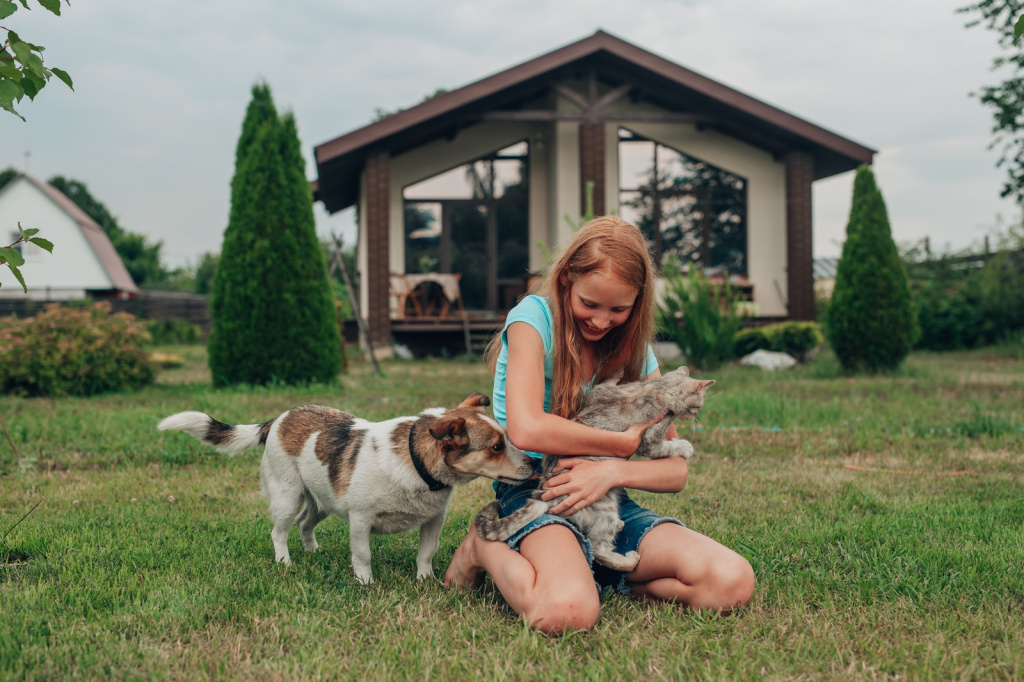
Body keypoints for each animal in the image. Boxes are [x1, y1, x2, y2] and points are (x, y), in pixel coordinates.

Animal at [157, 391, 536, 581]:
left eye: (507, 438)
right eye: (496, 446)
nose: (534, 464)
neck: (415, 461)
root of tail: (278, 419)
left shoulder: (433, 520)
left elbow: (426, 552)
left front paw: (425, 580)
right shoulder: (360, 520)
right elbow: (363, 555)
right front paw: (365, 584)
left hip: (322, 502)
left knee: (304, 524)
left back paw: (313, 553)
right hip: (287, 496)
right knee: (280, 531)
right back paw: (285, 562)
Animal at [475, 364, 716, 569]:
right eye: (698, 406)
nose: (695, 416)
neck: (653, 389)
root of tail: (542, 495)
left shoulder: (601, 393)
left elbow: (604, 384)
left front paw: (617, 371)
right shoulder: (649, 440)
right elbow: (665, 447)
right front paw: (684, 446)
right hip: (604, 507)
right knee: (598, 550)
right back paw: (630, 558)